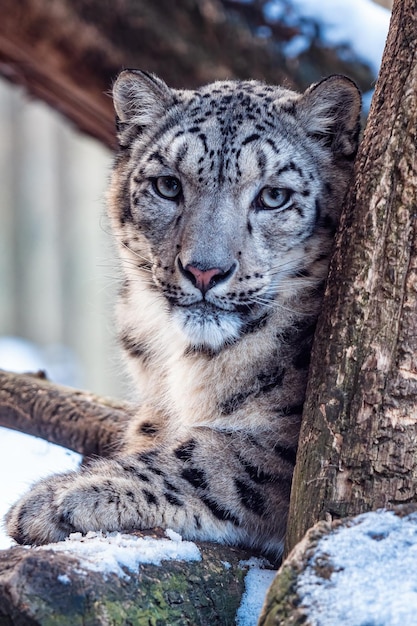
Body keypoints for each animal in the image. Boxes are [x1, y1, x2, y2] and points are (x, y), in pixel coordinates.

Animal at [4, 69, 360, 560]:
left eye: (274, 196)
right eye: (168, 185)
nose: (204, 270)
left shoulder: (288, 443)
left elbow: (208, 458)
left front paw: (62, 495)